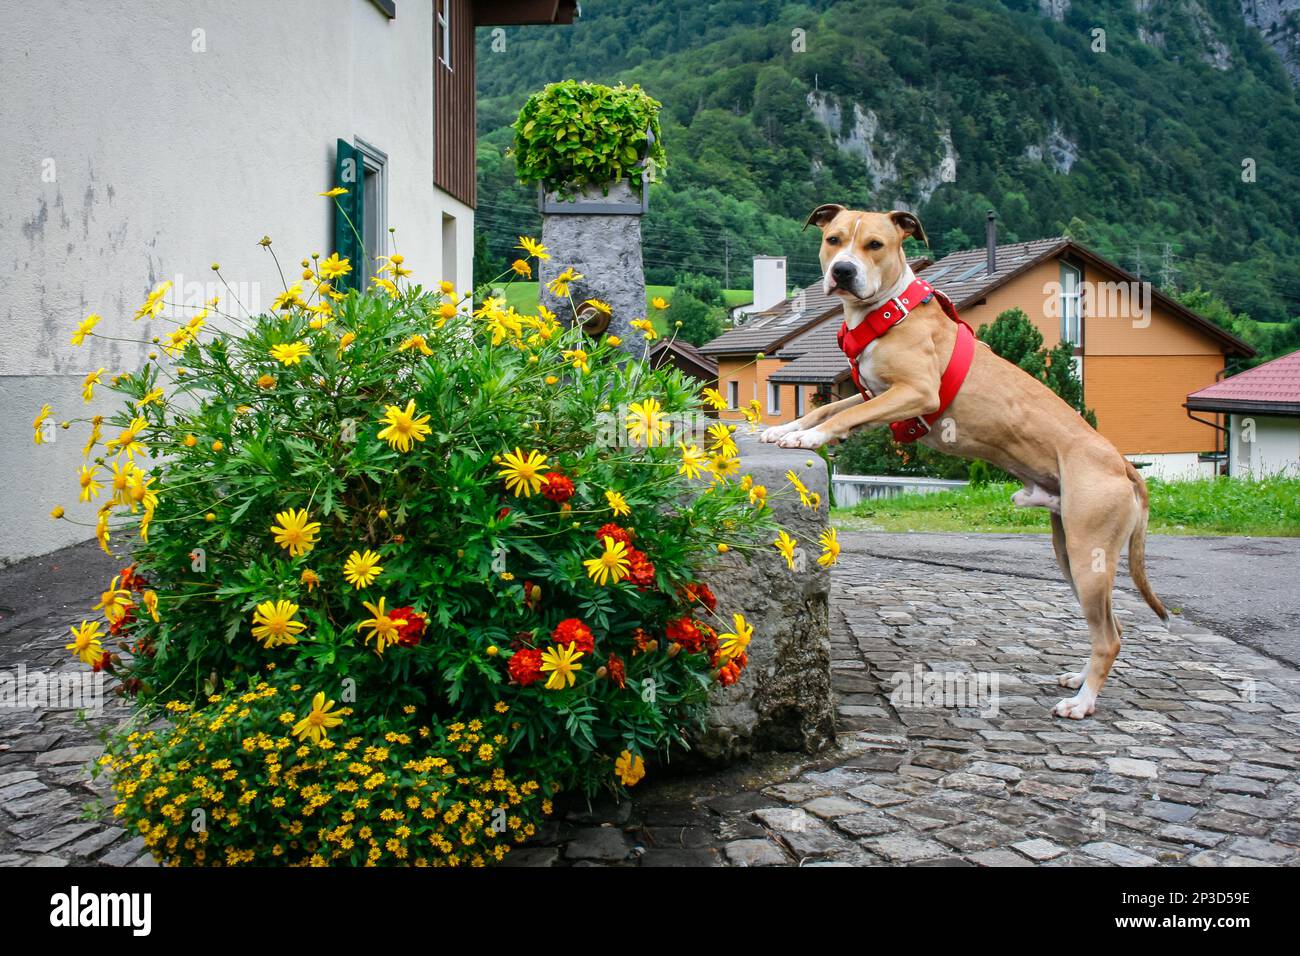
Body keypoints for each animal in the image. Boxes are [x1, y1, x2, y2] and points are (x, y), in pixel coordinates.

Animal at [759, 205, 1170, 723]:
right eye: (833, 239)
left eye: (875, 245)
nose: (843, 271)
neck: (887, 312)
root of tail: (1122, 465)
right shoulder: (874, 393)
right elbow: (831, 407)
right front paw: (789, 427)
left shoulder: (914, 393)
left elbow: (842, 415)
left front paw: (807, 437)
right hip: (1071, 553)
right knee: (1108, 626)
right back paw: (1078, 681)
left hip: (1088, 553)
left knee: (1111, 636)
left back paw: (1082, 702)